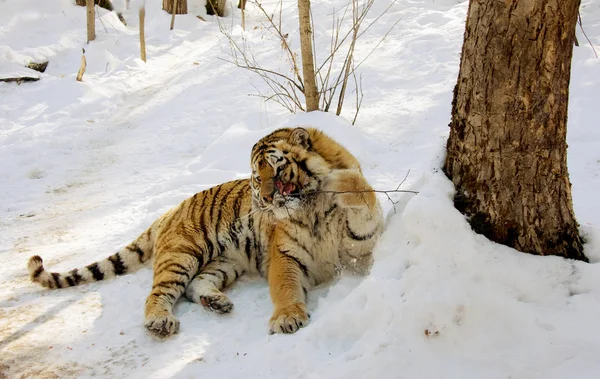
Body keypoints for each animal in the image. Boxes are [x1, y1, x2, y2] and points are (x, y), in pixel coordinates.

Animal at [27, 126, 384, 336]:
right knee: (159, 293)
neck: (308, 208)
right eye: (258, 178)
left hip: (225, 262)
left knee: (195, 285)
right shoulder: (285, 256)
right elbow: (285, 288)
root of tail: (170, 211)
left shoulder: (358, 242)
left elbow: (361, 191)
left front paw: (336, 179)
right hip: (182, 254)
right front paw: (287, 317)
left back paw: (216, 302)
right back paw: (160, 320)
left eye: (278, 169)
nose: (267, 198)